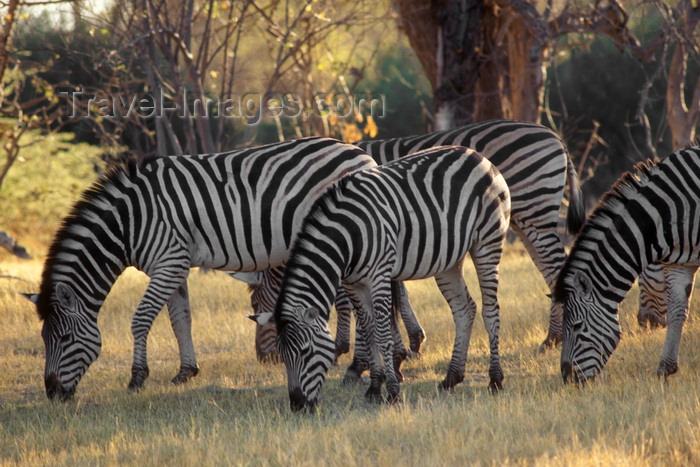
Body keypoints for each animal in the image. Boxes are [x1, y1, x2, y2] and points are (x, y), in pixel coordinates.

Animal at [23, 137, 378, 400]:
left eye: (65, 338)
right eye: (43, 339)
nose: (53, 393)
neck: (128, 223)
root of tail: (361, 155)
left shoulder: (169, 260)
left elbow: (141, 319)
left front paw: (137, 377)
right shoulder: (172, 265)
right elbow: (181, 319)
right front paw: (185, 371)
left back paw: (356, 366)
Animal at [243, 118, 588, 366]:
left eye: (255, 305)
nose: (264, 359)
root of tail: (553, 135)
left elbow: (351, 298)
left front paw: (349, 346)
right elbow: (398, 291)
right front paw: (411, 340)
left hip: (533, 211)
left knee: (556, 269)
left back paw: (557, 337)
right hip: (524, 220)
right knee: (548, 270)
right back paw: (553, 338)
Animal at [250, 147, 508, 414]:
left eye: (305, 351)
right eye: (282, 355)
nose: (298, 406)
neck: (347, 236)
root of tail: (476, 155)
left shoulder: (379, 276)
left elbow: (383, 335)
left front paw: (393, 392)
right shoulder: (353, 284)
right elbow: (369, 331)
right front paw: (374, 389)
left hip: (488, 241)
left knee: (490, 310)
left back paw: (495, 379)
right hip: (448, 261)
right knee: (464, 309)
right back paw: (451, 378)